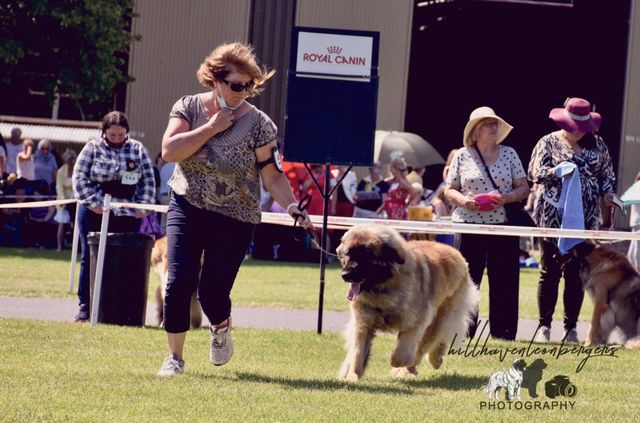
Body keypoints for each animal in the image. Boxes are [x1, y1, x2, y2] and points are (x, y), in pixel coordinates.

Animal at [336, 227, 480, 382]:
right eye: (347, 254)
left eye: (366, 254)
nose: (344, 275)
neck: (382, 288)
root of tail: (454, 251)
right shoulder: (362, 324)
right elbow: (357, 352)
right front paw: (353, 376)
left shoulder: (415, 324)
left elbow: (399, 356)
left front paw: (398, 366)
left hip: (440, 319)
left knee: (429, 343)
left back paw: (424, 364)